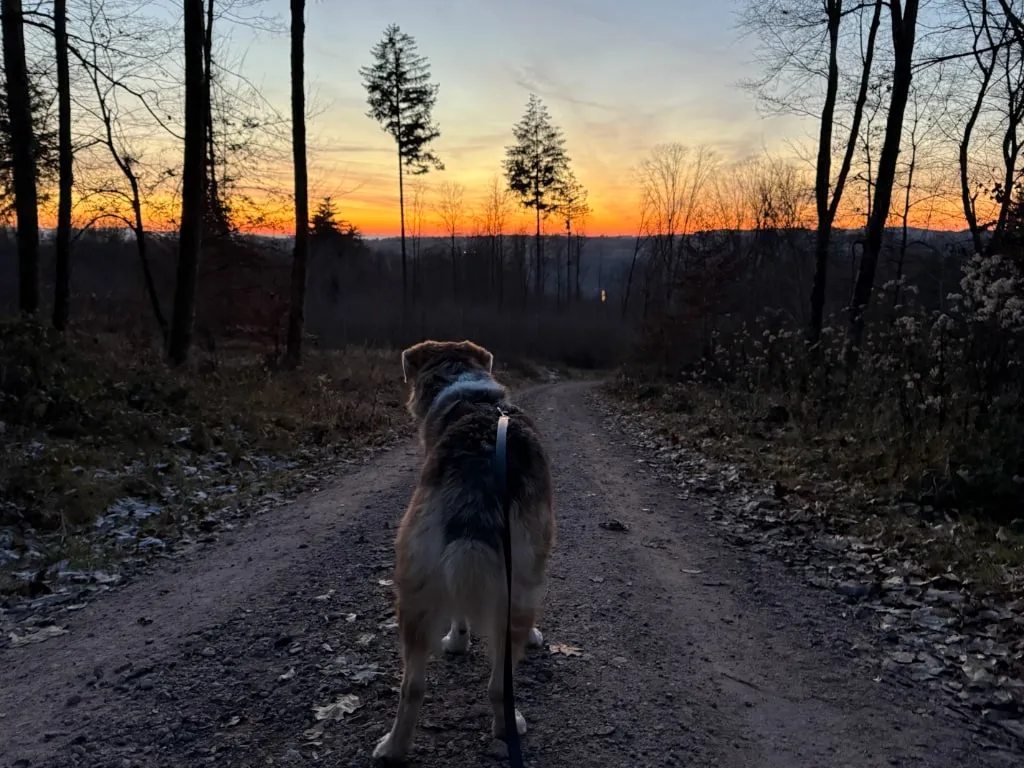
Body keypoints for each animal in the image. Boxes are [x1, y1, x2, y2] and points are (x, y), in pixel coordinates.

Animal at [373, 339, 555, 762]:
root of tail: (478, 475)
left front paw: (457, 644)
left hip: (415, 582)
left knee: (413, 687)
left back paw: (393, 749)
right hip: (515, 588)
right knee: (499, 684)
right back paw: (507, 725)